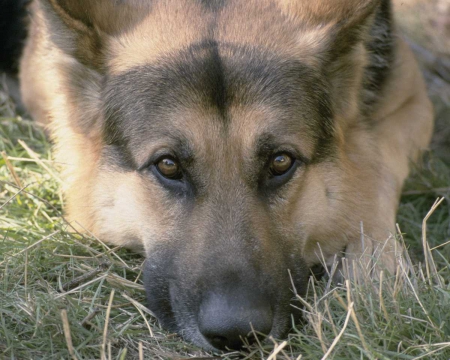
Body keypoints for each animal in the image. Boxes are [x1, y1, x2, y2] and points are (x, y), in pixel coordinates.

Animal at [0, 0, 436, 352]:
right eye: (168, 166)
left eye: (281, 162)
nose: (237, 333)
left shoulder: (411, 101)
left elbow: (373, 170)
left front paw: (377, 276)